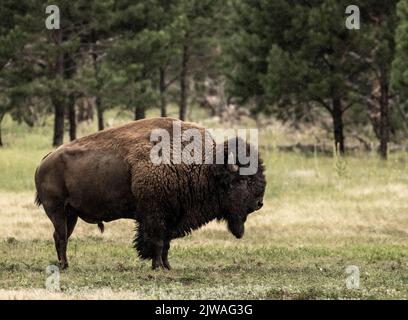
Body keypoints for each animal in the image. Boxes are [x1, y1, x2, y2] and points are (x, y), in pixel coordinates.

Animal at [34, 117, 264, 270]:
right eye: (242, 180)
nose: (259, 203)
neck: (203, 166)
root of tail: (45, 160)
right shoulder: (155, 216)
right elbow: (157, 241)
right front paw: (158, 267)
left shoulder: (171, 217)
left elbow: (166, 244)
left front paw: (167, 266)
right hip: (57, 211)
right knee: (61, 237)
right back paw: (64, 266)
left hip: (70, 214)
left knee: (60, 236)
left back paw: (64, 265)